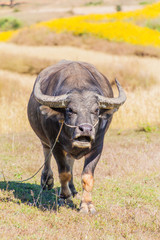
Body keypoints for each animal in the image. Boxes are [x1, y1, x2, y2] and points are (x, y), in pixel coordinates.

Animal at [27, 60, 126, 214]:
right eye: (70, 110)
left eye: (96, 110)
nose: (85, 129)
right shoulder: (56, 145)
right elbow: (64, 172)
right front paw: (64, 198)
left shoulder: (98, 147)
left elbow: (87, 176)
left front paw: (87, 205)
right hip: (46, 140)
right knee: (46, 152)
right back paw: (47, 180)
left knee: (70, 160)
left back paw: (72, 189)